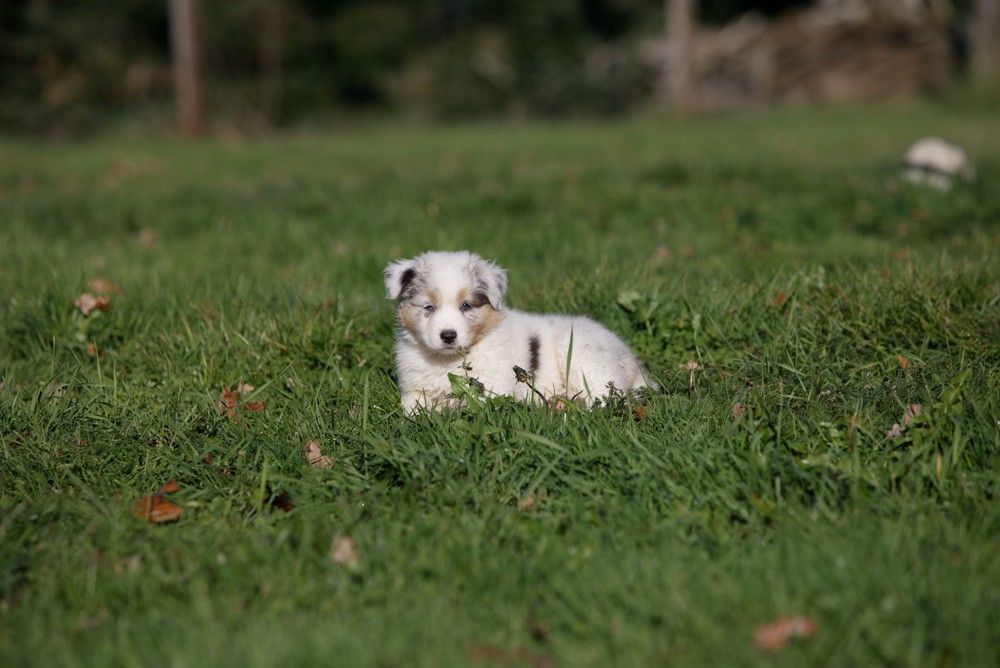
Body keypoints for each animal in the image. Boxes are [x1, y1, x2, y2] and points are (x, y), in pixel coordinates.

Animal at [384, 251, 653, 413]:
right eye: (428, 307)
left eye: (466, 306)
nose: (448, 336)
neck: (448, 360)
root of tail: (632, 362)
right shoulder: (413, 389)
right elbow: (413, 409)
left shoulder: (491, 389)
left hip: (583, 355)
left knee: (605, 398)